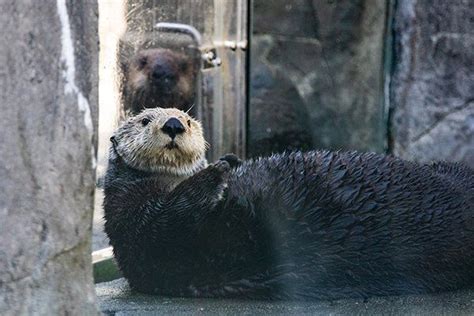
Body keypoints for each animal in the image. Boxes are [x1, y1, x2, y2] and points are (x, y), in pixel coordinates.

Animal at [103, 107, 474, 300]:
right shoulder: (136, 224)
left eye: (191, 120)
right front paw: (221, 168)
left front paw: (230, 160)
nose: (174, 124)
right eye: (145, 120)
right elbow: (168, 220)